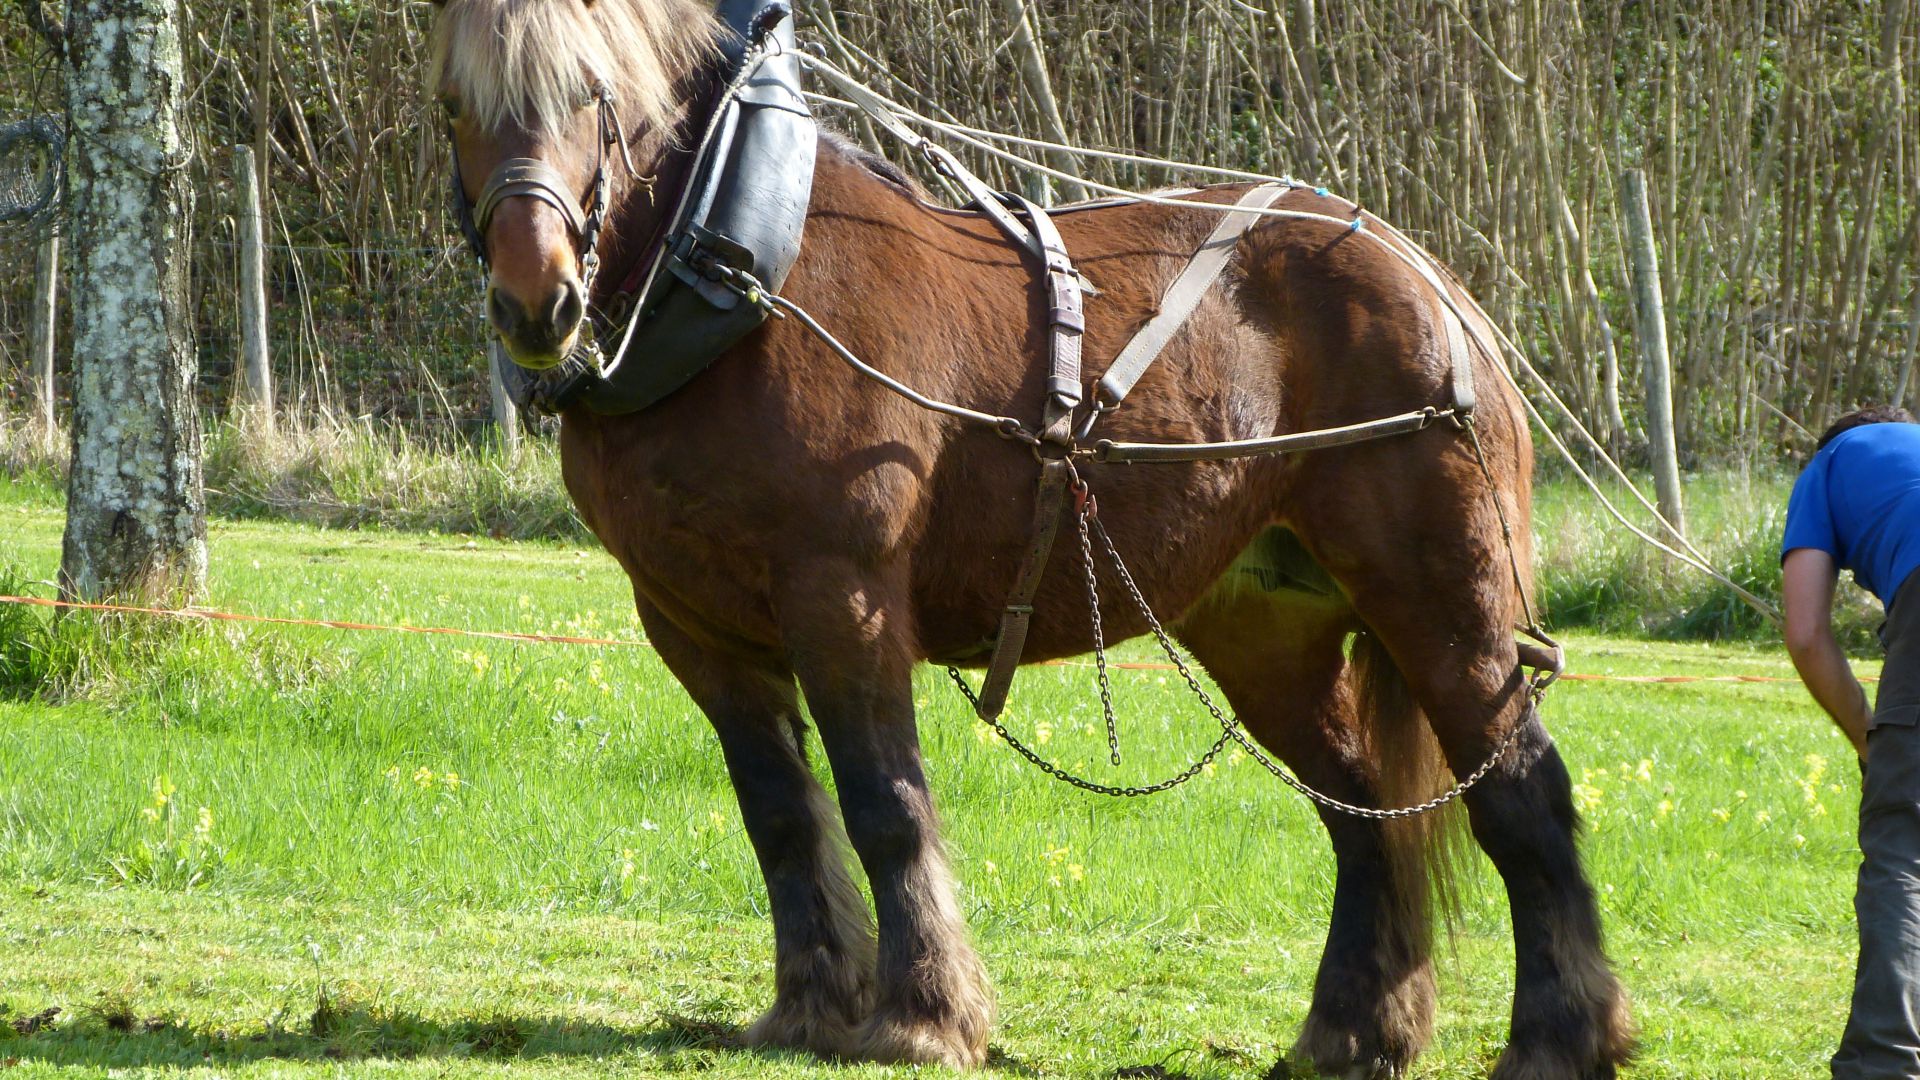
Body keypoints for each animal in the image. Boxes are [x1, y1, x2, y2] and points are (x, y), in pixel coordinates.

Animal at [428, 4, 1628, 1068]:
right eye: (452, 105)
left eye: (595, 94)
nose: (537, 301)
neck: (746, 282)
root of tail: (1431, 280)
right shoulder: (691, 626)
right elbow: (779, 816)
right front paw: (811, 1008)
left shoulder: (844, 599)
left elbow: (886, 806)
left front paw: (923, 1017)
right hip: (1266, 633)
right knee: (1366, 812)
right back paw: (1352, 1033)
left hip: (1445, 603)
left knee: (1523, 796)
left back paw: (1560, 1038)